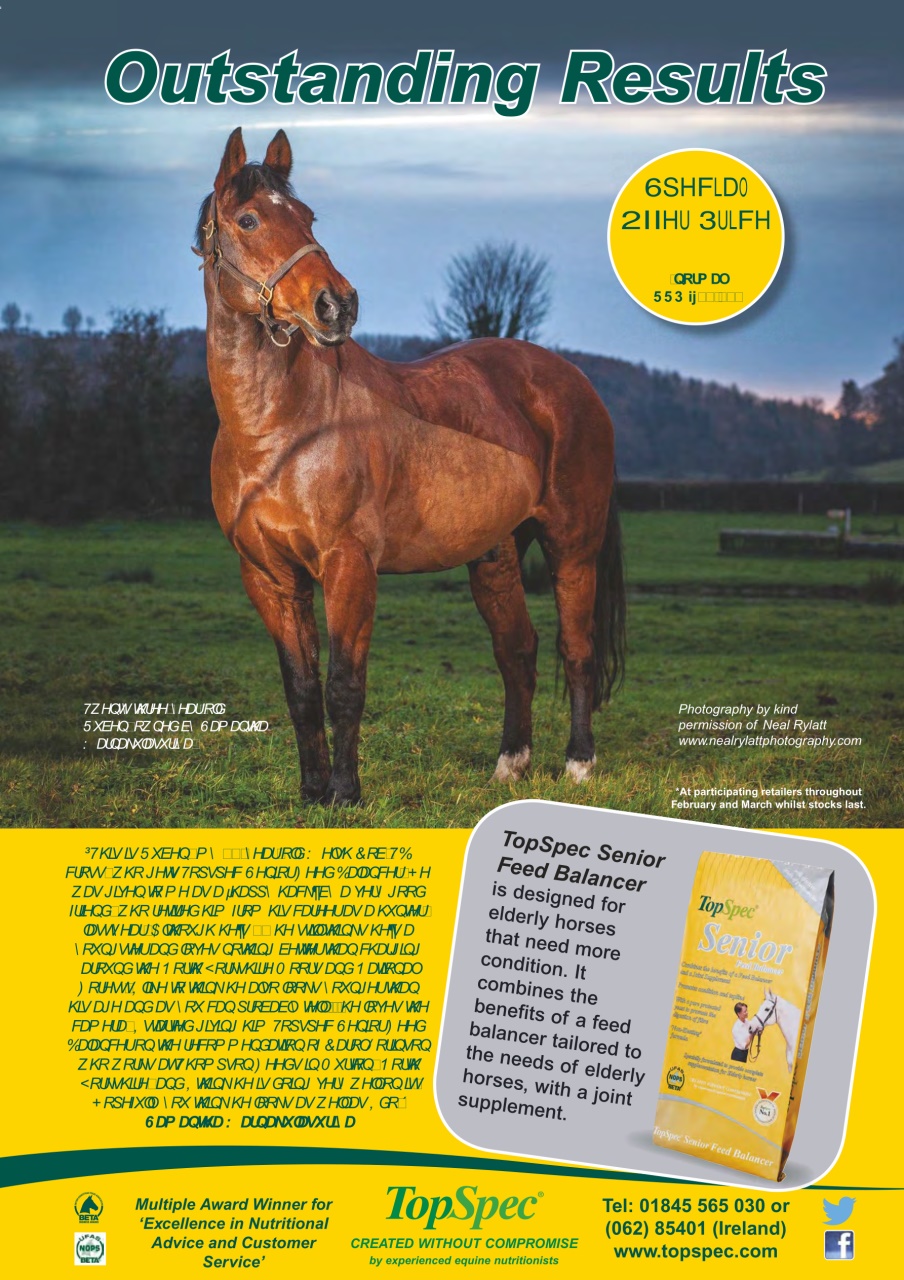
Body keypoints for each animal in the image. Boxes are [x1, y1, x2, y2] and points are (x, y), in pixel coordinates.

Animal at [195, 128, 625, 806]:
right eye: (249, 219)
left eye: (308, 217)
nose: (337, 304)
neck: (278, 431)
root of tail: (571, 381)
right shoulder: (268, 576)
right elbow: (301, 690)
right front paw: (311, 792)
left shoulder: (349, 567)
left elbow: (345, 685)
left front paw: (346, 794)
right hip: (495, 553)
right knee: (518, 651)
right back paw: (510, 764)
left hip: (572, 546)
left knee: (575, 648)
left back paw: (578, 764)